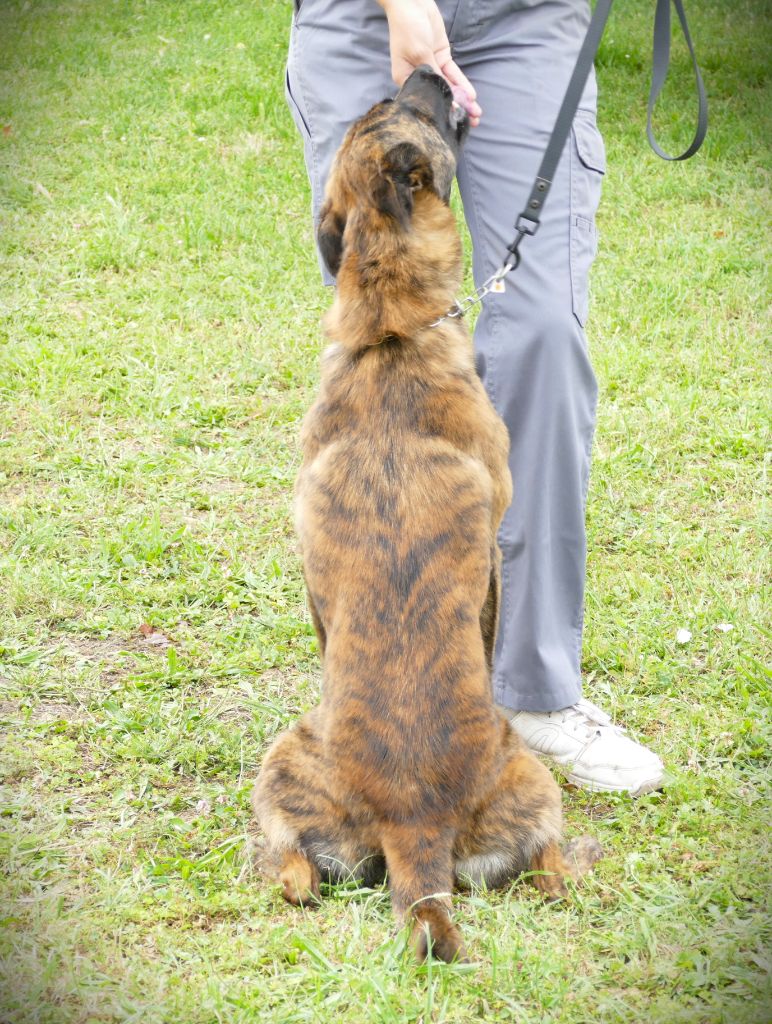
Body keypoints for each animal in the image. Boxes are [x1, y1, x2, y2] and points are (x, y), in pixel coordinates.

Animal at [253, 68, 602, 962]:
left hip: (288, 765)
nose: (425, 71)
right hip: (526, 776)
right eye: (403, 109)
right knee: (552, 871)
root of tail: (414, 819)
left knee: (296, 880)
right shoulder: (494, 560)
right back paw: (581, 856)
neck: (392, 331)